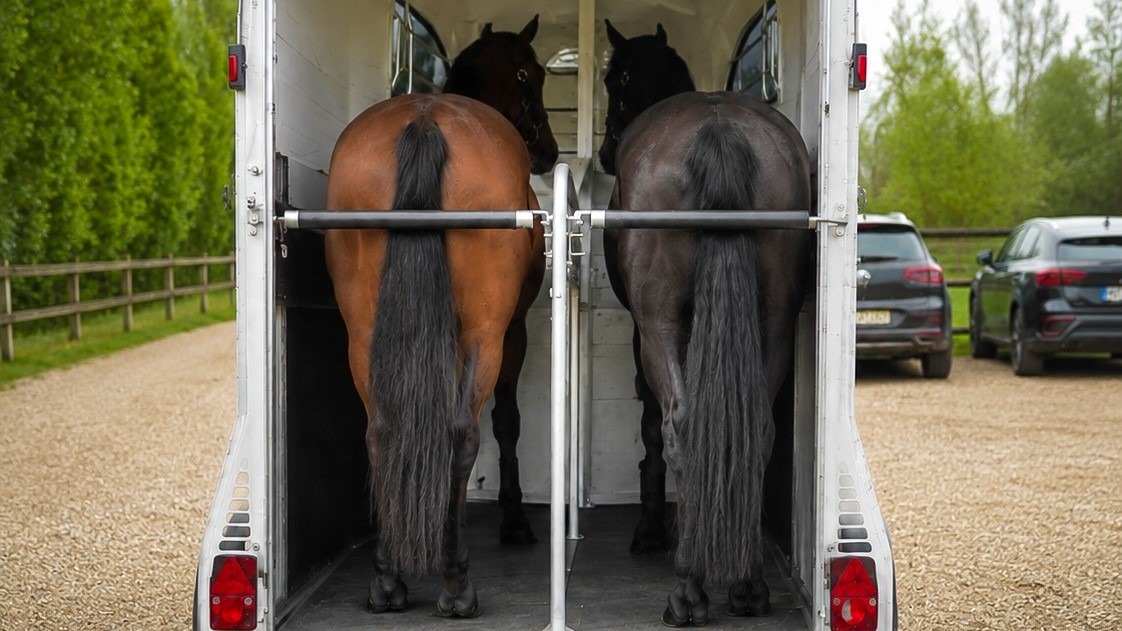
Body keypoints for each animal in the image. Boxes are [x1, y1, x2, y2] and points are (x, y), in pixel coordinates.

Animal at [322, 18, 556, 618]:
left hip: (363, 333)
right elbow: (506, 422)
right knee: (460, 434)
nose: (547, 149)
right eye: (530, 73)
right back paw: (455, 584)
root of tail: (425, 121)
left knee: (381, 431)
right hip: (483, 335)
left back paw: (387, 581)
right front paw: (516, 522)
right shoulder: (512, 331)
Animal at [599, 21, 816, 626]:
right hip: (774, 322)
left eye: (614, 80)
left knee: (682, 425)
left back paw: (688, 588)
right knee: (757, 428)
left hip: (659, 326)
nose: (603, 153)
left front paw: (650, 530)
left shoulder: (645, 332)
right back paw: (748, 583)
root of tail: (718, 130)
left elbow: (652, 426)